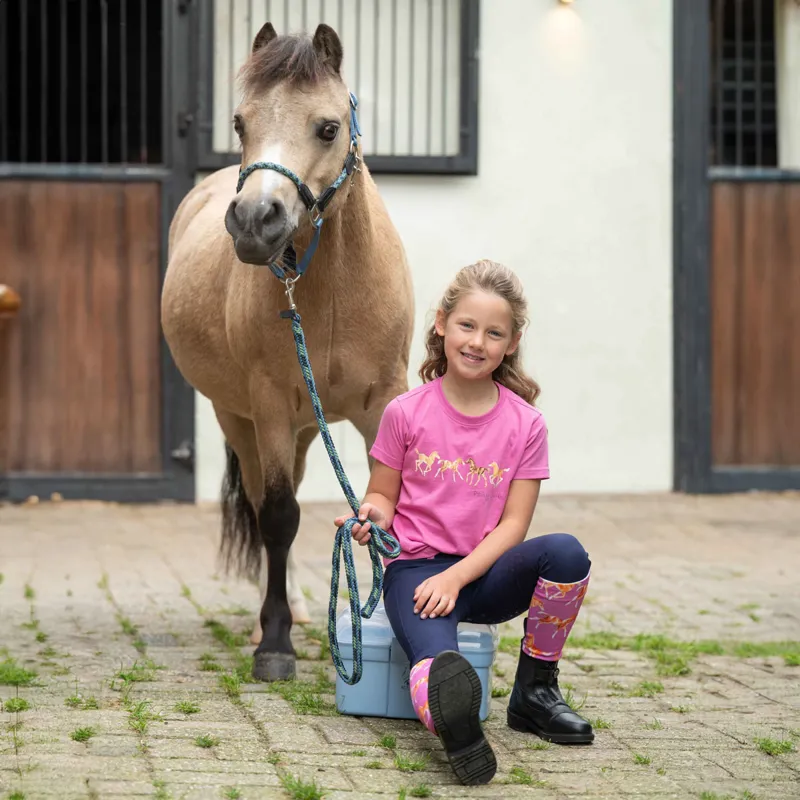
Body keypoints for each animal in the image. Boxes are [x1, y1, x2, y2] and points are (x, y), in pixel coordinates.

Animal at [161, 22, 414, 681]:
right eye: (239, 122)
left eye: (327, 127)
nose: (254, 222)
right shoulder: (271, 406)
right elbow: (277, 517)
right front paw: (273, 644)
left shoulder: (383, 404)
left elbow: (389, 508)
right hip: (241, 418)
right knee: (263, 504)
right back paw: (278, 616)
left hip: (304, 427)